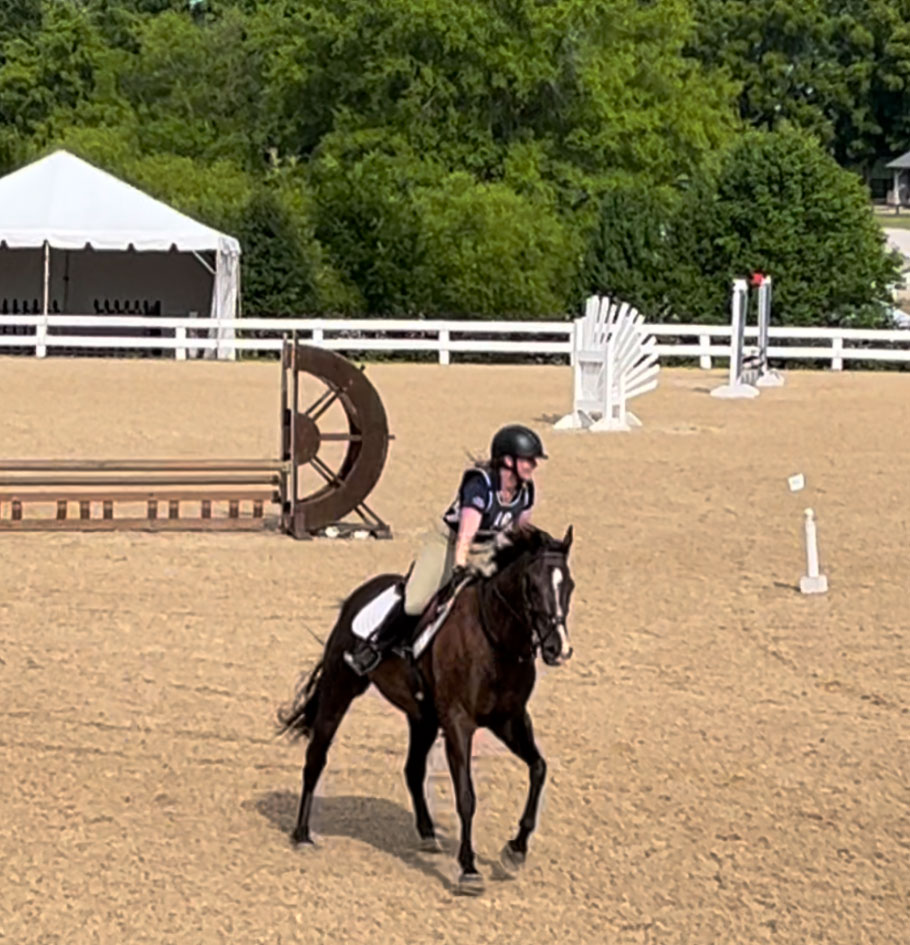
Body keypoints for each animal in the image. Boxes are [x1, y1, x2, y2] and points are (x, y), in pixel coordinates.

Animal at [278, 524, 576, 892]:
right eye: (533, 586)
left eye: (570, 586)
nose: (558, 648)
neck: (496, 641)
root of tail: (358, 595)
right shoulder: (459, 723)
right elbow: (466, 796)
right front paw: (468, 868)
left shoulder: (510, 719)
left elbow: (538, 768)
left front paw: (515, 849)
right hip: (340, 686)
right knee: (316, 756)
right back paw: (302, 834)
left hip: (423, 718)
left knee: (412, 769)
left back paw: (427, 833)